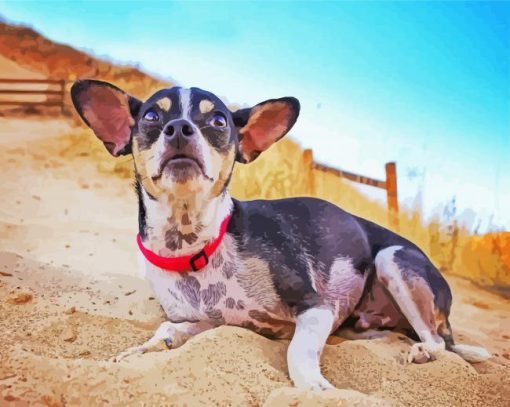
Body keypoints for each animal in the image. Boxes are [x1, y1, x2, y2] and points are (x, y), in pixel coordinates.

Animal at [69, 80, 488, 392]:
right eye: (153, 116)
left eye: (218, 121)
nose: (179, 128)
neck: (197, 245)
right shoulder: (207, 320)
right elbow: (169, 330)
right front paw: (137, 351)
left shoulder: (316, 308)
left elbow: (297, 353)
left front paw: (316, 388)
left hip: (392, 259)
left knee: (438, 341)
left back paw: (422, 352)